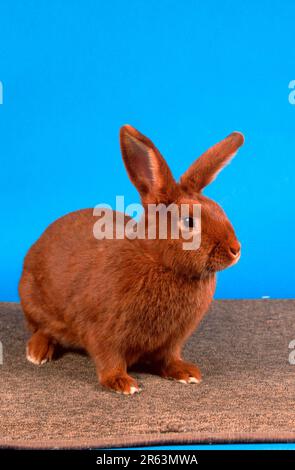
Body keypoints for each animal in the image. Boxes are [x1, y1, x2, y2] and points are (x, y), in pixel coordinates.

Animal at [19, 125, 245, 392]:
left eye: (219, 209)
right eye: (189, 221)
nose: (236, 249)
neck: (158, 260)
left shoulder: (172, 341)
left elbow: (169, 358)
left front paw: (186, 373)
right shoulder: (103, 331)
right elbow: (109, 358)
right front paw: (122, 383)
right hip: (33, 301)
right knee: (41, 329)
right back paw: (37, 353)